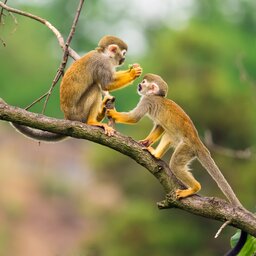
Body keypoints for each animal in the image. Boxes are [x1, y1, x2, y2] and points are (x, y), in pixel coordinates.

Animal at [106, 73, 248, 255]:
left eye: (144, 82)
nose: (139, 85)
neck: (157, 97)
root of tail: (198, 142)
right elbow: (159, 126)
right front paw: (146, 142)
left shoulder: (147, 101)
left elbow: (135, 118)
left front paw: (113, 113)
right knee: (168, 132)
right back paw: (156, 154)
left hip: (187, 148)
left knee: (175, 162)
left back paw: (194, 188)